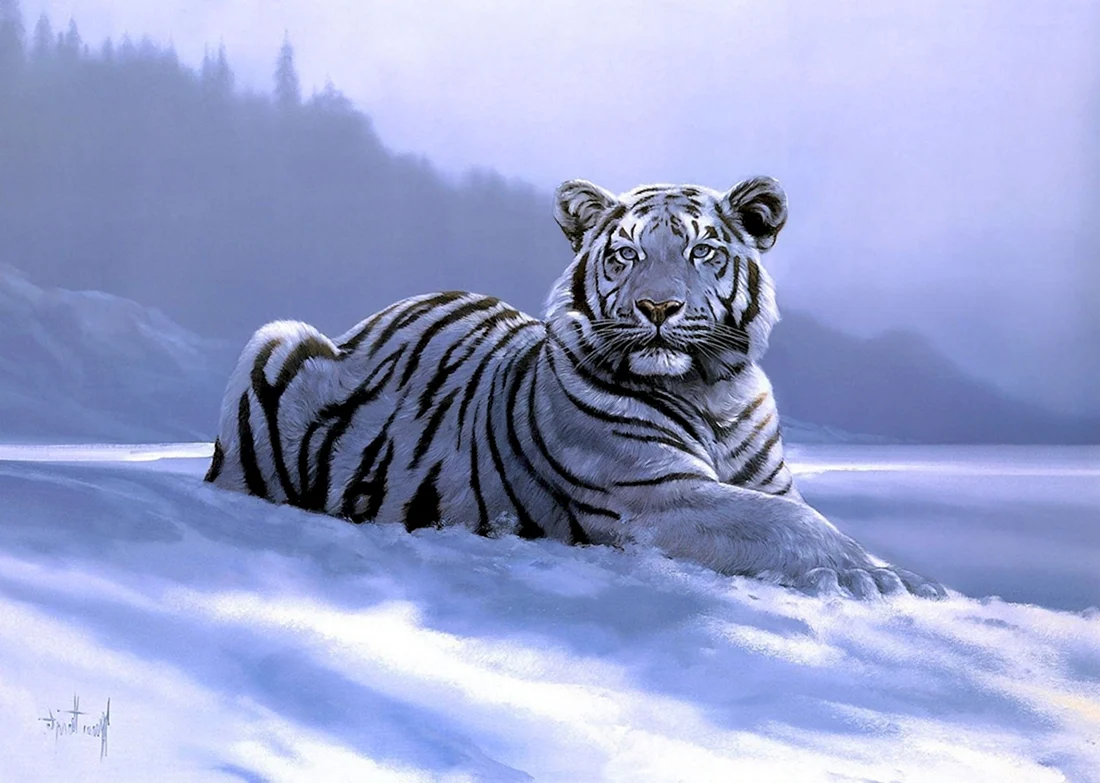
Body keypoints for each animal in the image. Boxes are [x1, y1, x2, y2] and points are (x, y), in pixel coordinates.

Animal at [205, 176, 945, 599]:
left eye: (703, 251)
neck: (712, 391)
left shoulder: (766, 480)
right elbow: (791, 523)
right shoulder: (655, 493)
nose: (658, 308)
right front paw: (883, 577)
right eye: (626, 254)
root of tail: (371, 318)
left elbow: (798, 512)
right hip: (274, 339)